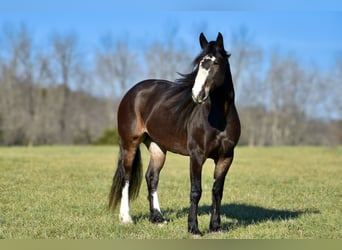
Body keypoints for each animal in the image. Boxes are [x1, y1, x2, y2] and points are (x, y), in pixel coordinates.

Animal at [109, 32, 240, 235]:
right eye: (199, 63)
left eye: (216, 62)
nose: (197, 94)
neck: (220, 117)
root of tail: (133, 92)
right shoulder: (197, 156)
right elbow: (196, 191)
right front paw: (193, 228)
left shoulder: (226, 157)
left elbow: (217, 191)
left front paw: (216, 227)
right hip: (129, 144)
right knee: (127, 177)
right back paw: (126, 218)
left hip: (157, 148)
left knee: (152, 178)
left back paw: (158, 218)